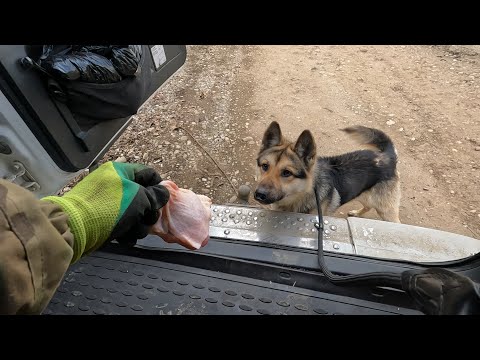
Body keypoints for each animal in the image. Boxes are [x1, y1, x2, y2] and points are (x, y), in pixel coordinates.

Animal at [255, 121, 402, 222]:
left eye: (287, 173)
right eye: (265, 166)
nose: (259, 194)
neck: (303, 195)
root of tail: (387, 155)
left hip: (387, 211)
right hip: (363, 194)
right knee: (368, 205)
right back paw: (356, 213)